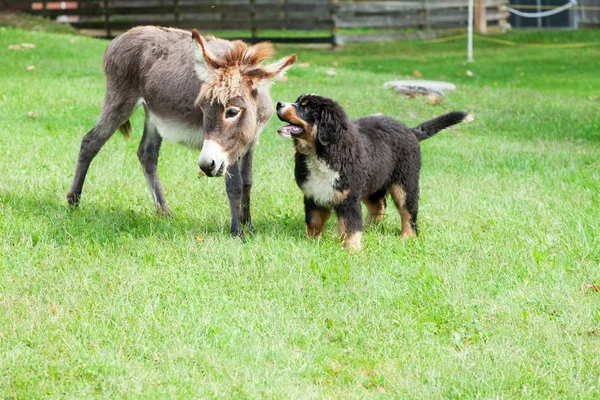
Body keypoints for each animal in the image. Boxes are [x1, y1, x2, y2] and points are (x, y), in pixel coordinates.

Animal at [276, 94, 468, 250]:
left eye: (306, 107)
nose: (279, 103)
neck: (323, 153)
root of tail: (410, 130)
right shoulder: (313, 193)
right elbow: (314, 221)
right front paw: (310, 241)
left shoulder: (349, 196)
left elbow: (350, 226)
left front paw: (352, 250)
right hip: (373, 181)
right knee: (379, 205)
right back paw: (369, 228)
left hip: (404, 183)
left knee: (408, 211)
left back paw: (407, 237)